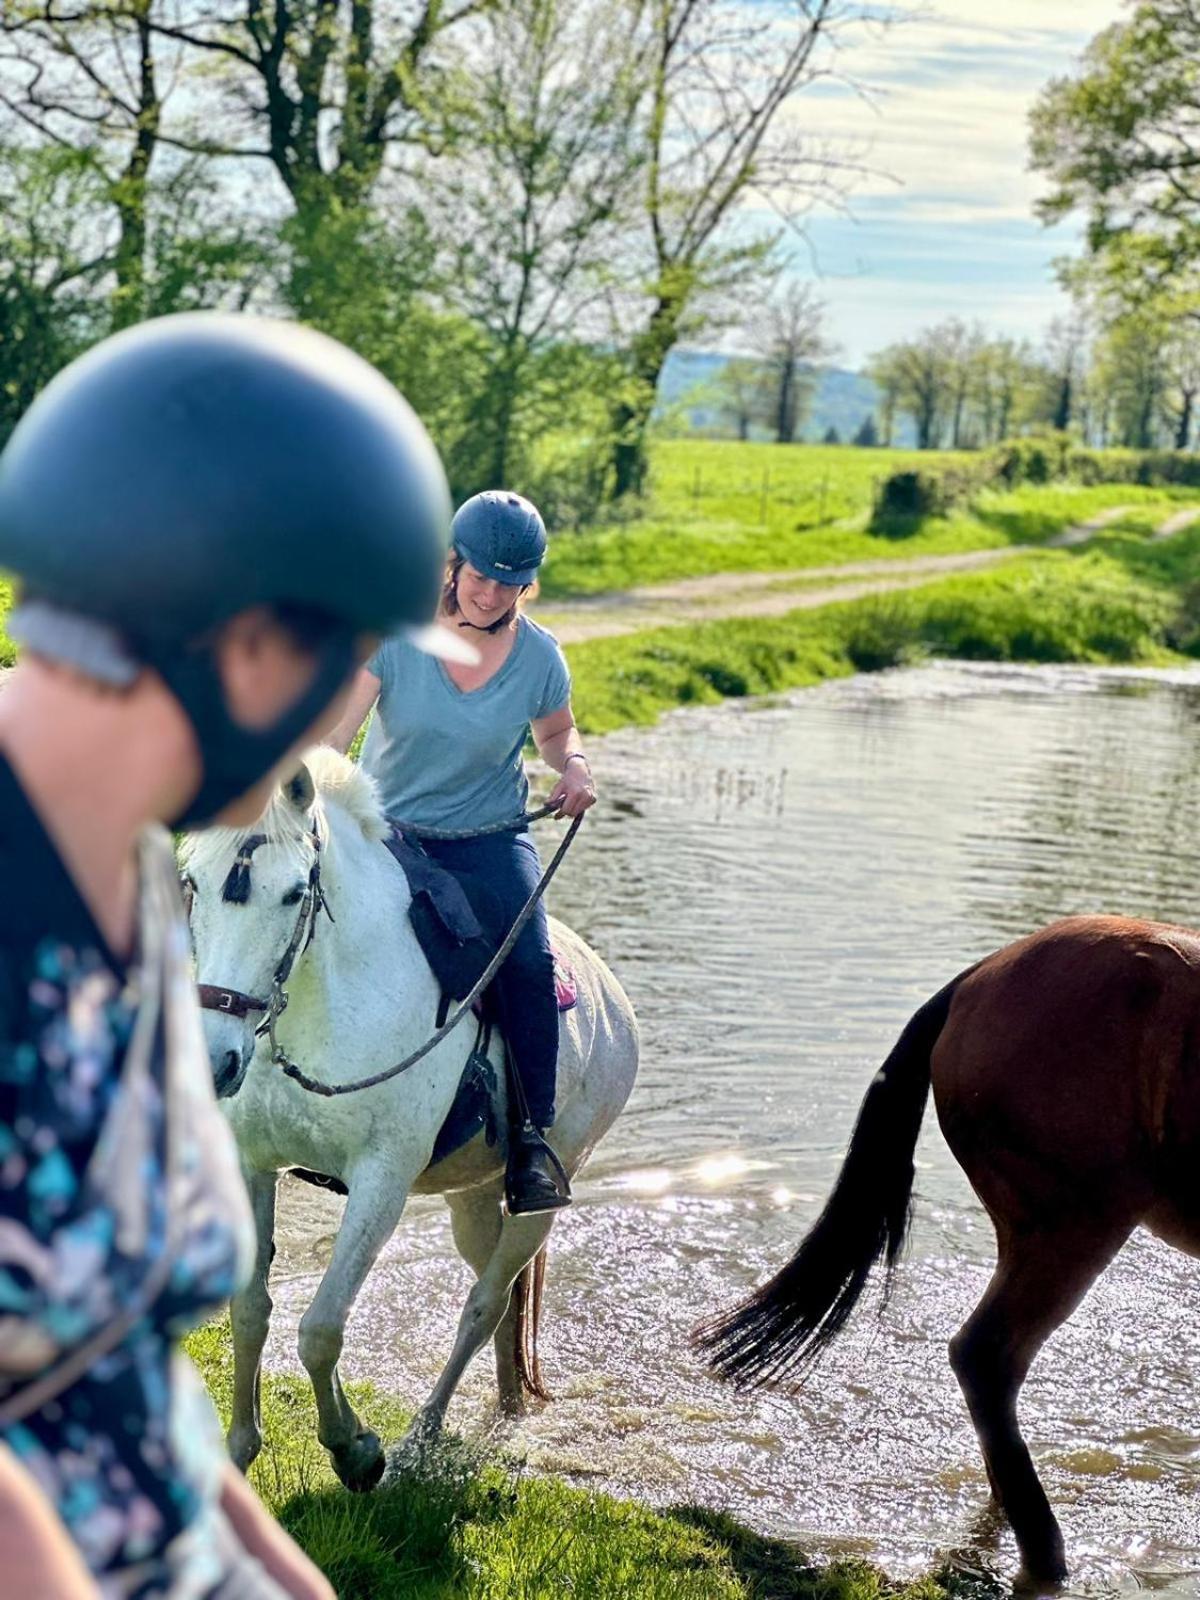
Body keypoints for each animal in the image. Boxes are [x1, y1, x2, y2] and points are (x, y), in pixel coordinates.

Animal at [180, 748, 640, 1484]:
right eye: (192, 882)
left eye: (293, 894)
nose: (217, 1060)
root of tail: (613, 1000)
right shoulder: (254, 1165)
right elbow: (250, 1313)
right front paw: (239, 1448)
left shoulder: (382, 1181)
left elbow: (321, 1328)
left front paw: (356, 1450)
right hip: (473, 1197)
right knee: (500, 1298)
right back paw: (506, 1408)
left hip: (548, 1188)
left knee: (484, 1304)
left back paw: (422, 1437)